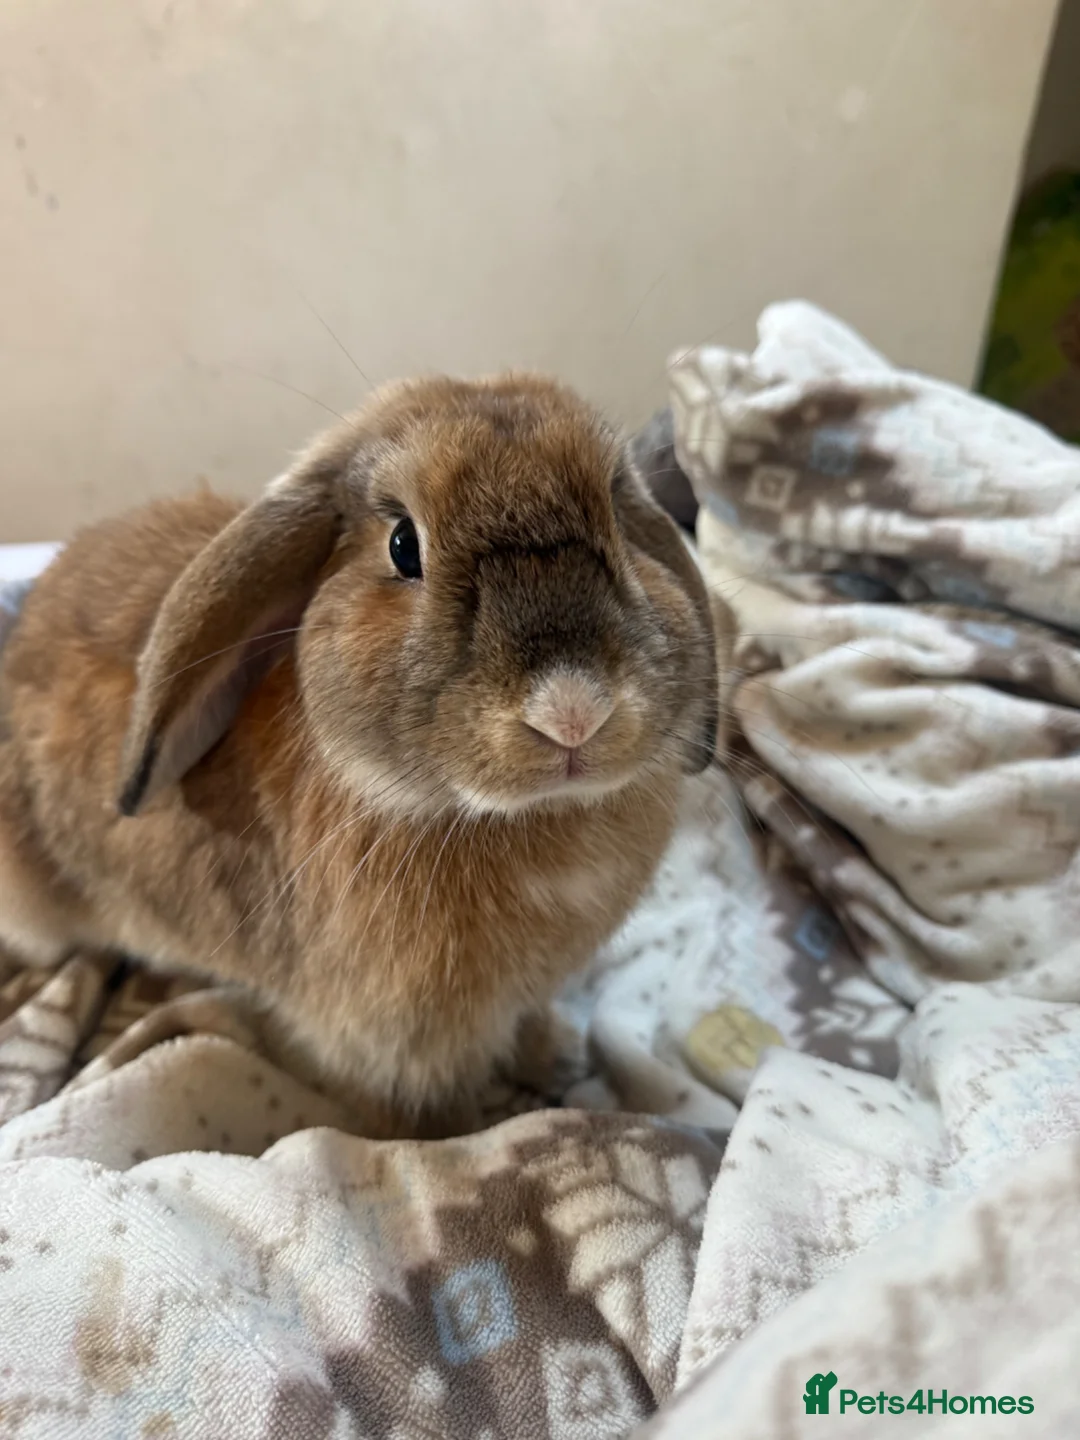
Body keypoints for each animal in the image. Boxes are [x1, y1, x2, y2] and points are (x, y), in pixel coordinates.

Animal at [0, 373, 719, 1137]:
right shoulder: (389, 1043)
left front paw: (556, 1056)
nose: (573, 711)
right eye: (403, 546)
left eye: (616, 512)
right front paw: (463, 1134)